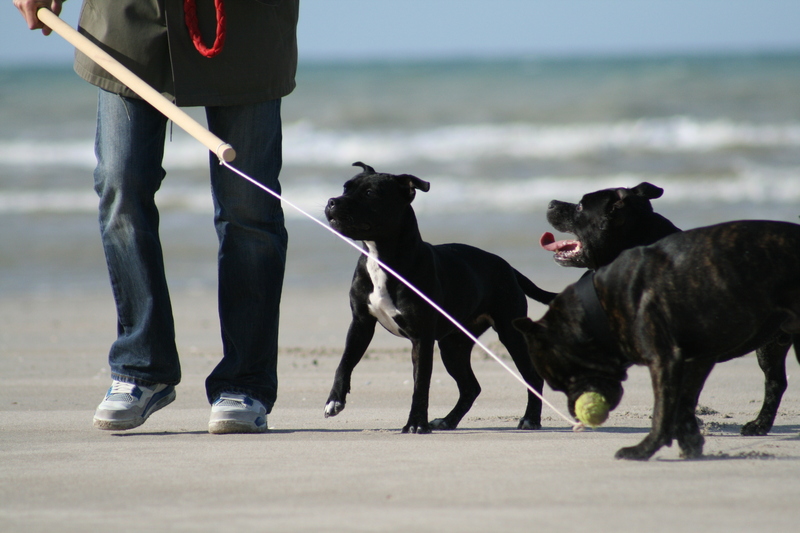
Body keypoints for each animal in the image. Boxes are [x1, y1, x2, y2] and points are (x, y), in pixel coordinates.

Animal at [324, 162, 556, 432]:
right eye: (345, 188)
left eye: (370, 193)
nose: (331, 201)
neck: (381, 258)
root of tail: (508, 266)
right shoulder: (361, 323)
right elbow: (344, 363)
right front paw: (334, 400)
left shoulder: (421, 338)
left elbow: (421, 384)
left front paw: (415, 424)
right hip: (453, 345)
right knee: (470, 387)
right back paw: (447, 420)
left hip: (511, 334)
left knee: (532, 378)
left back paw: (530, 419)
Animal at [512, 218, 800, 460]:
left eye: (567, 380)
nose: (576, 413)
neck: (604, 302)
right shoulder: (698, 358)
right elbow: (683, 404)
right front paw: (690, 442)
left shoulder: (665, 359)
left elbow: (663, 411)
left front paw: (644, 449)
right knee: (776, 381)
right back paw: (760, 424)